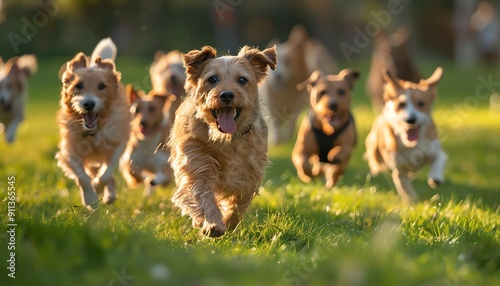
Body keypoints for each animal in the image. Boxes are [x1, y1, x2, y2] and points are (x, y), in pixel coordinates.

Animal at [55, 38, 131, 208]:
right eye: (79, 85)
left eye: (101, 86)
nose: (88, 104)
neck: (92, 132)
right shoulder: (70, 150)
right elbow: (82, 177)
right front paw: (90, 198)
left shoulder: (118, 143)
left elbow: (106, 172)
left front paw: (97, 186)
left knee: (109, 176)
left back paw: (109, 195)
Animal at [169, 45, 278, 237]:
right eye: (212, 79)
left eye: (242, 80)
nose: (226, 95)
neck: (226, 139)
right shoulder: (197, 162)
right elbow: (202, 193)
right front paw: (213, 224)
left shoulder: (250, 173)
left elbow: (239, 203)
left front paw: (229, 224)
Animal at [364, 66, 446, 203]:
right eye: (401, 105)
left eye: (421, 103)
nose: (411, 119)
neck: (411, 145)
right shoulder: (399, 168)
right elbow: (404, 186)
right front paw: (412, 201)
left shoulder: (434, 148)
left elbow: (439, 159)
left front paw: (435, 178)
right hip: (374, 148)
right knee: (375, 161)